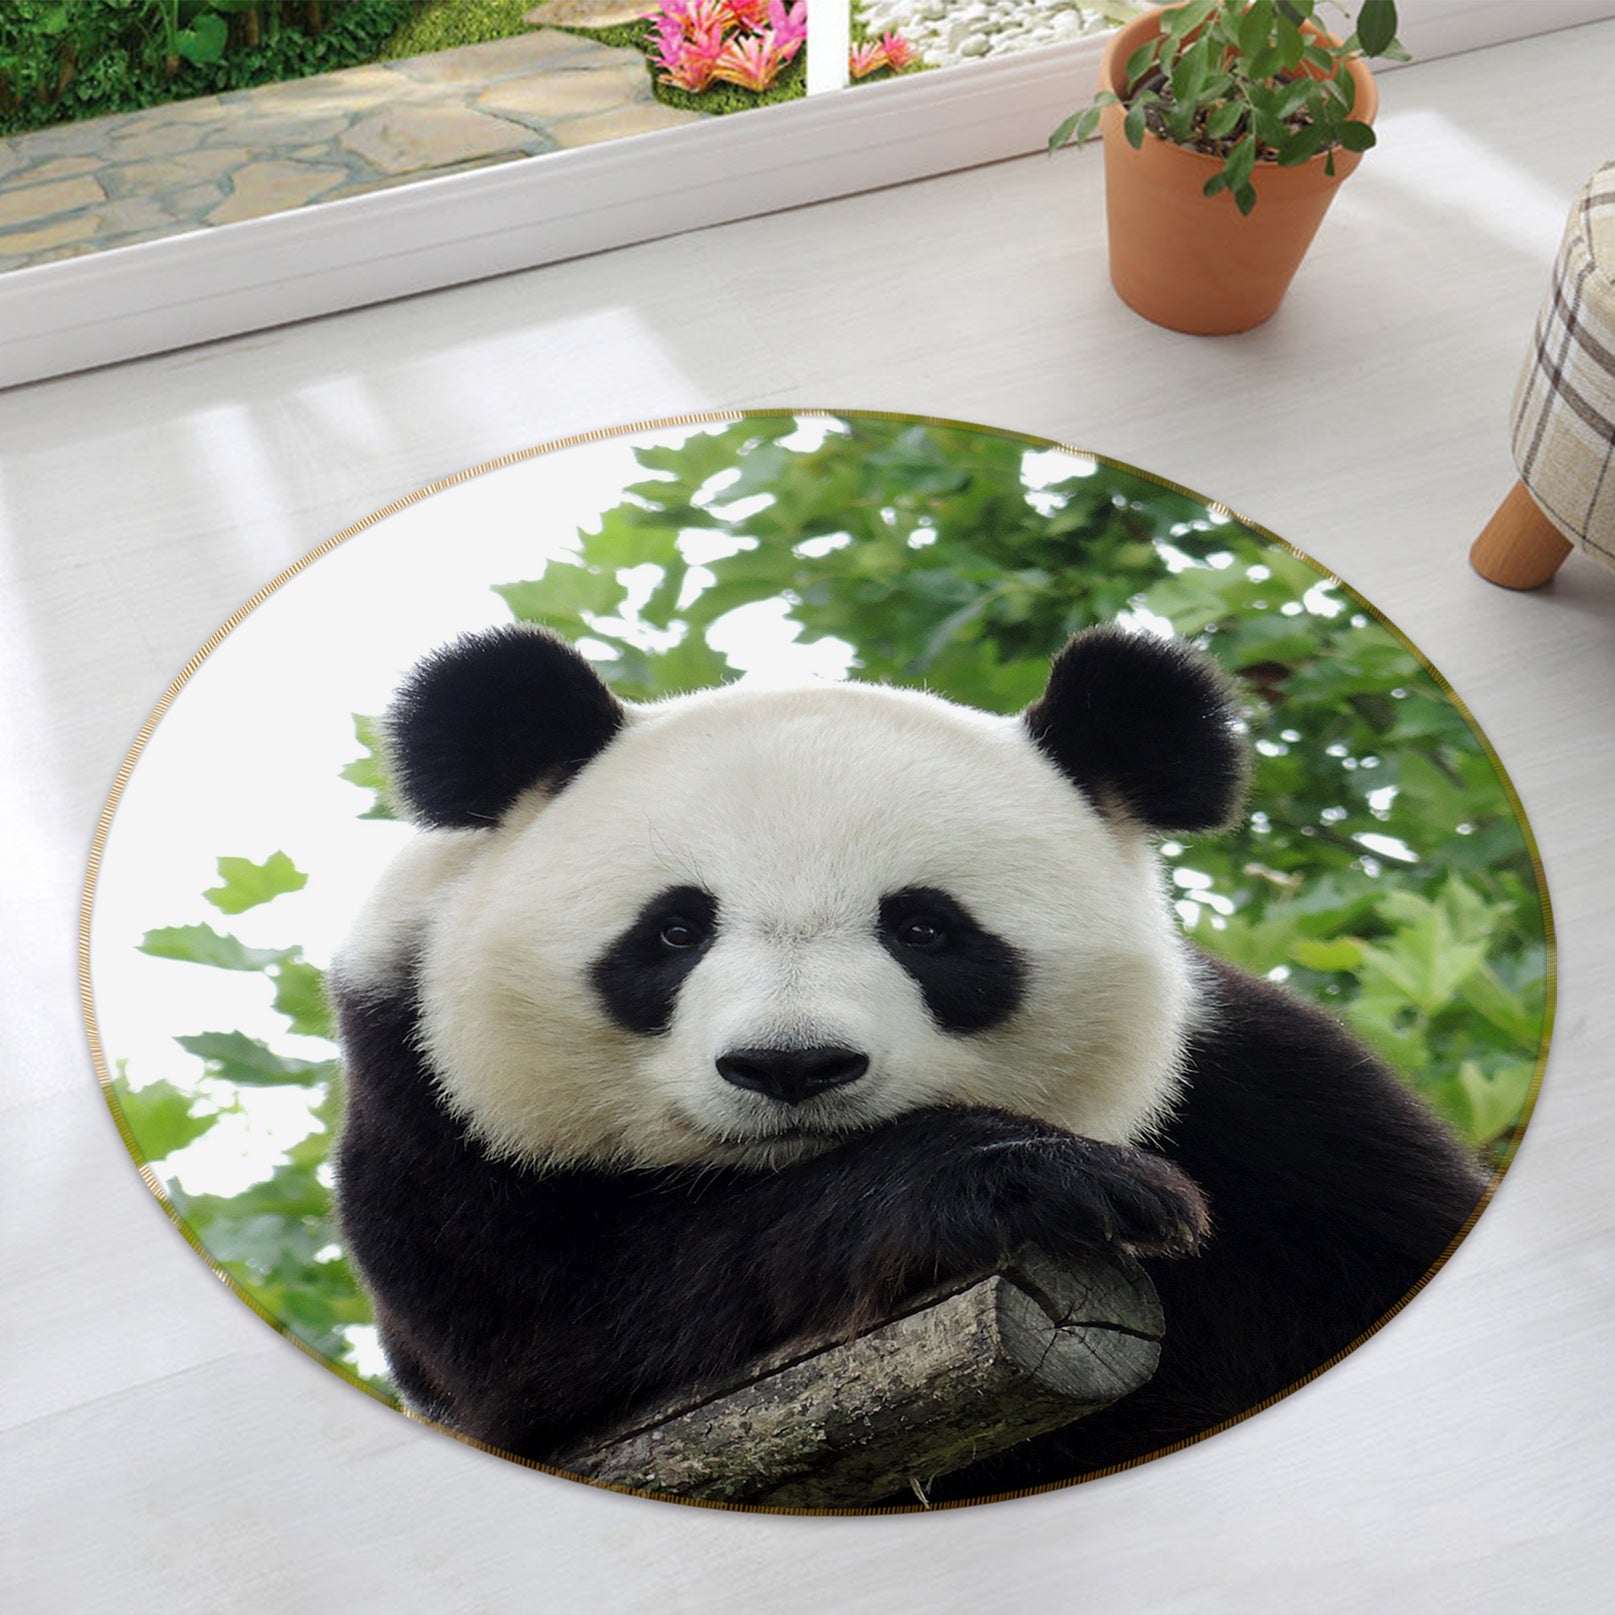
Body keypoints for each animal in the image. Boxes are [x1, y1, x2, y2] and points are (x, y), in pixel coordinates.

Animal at [331, 622, 1487, 1502]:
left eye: (926, 928)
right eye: (671, 932)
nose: (791, 1066)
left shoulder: (1269, 1112)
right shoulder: (426, 1106)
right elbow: (565, 1315)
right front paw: (1032, 1178)